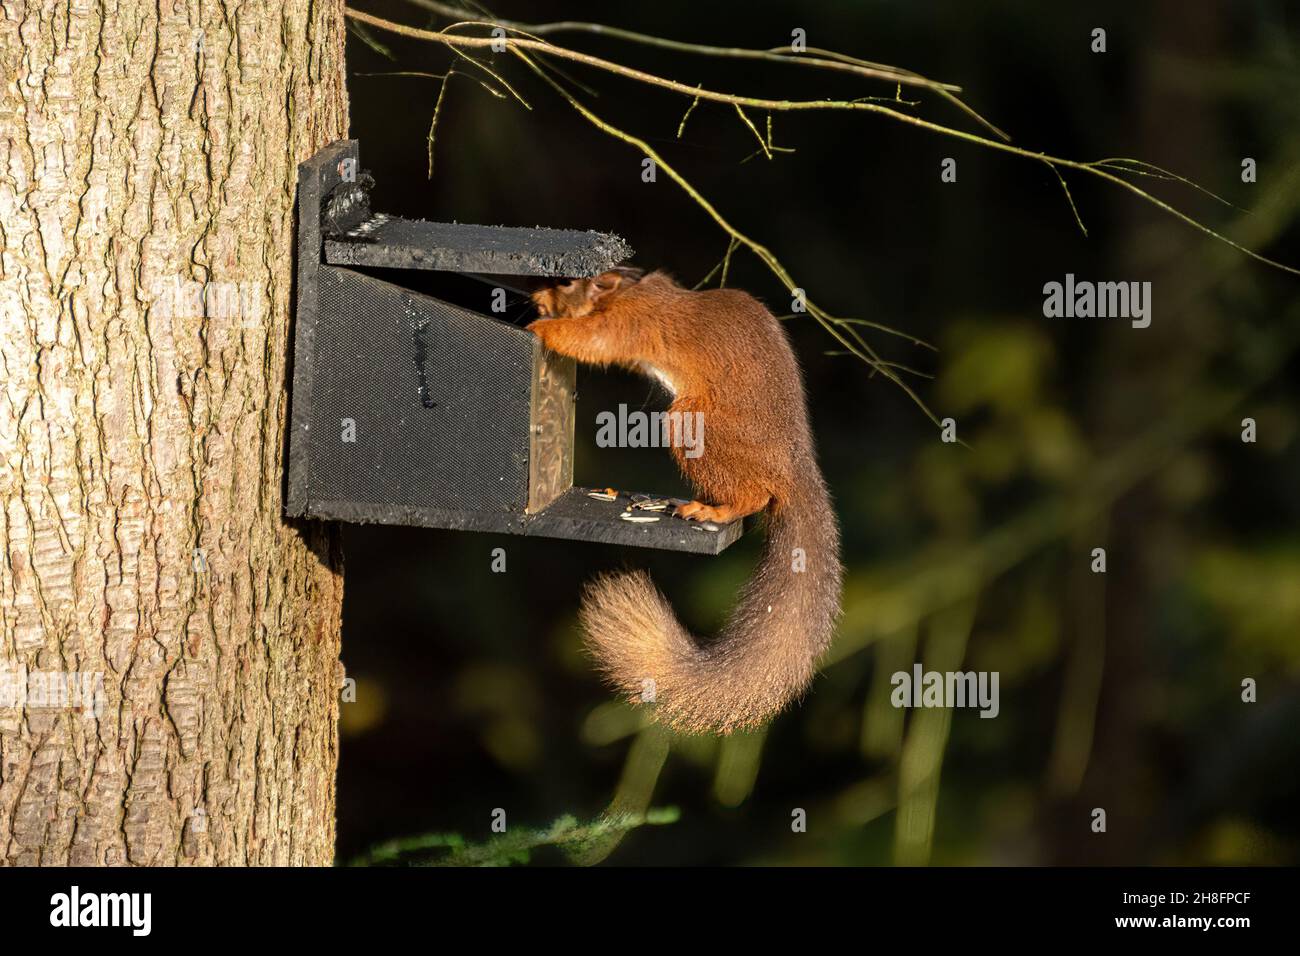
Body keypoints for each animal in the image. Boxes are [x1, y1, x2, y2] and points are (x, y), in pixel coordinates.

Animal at [527, 270, 842, 738]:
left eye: (566, 284)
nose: (536, 297)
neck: (629, 290)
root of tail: (793, 466)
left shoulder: (631, 322)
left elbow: (595, 340)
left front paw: (542, 328)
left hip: (693, 422)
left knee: (756, 495)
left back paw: (714, 509)